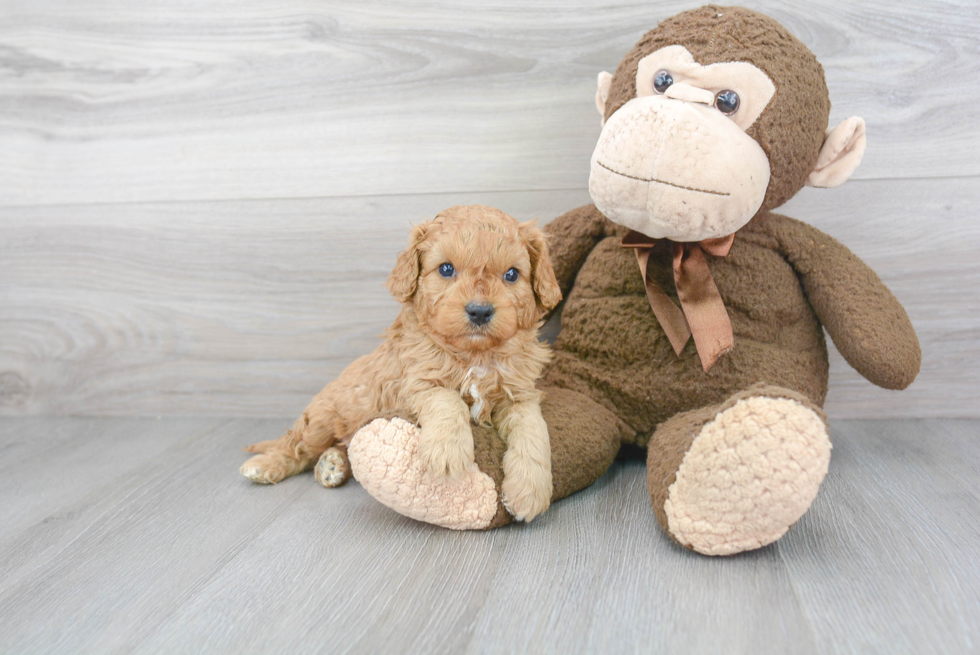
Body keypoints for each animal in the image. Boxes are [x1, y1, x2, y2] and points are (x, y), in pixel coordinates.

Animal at [241, 205, 564, 524]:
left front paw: (530, 490)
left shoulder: (520, 394)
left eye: (512, 274)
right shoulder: (416, 382)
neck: (475, 355)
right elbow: (448, 400)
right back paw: (266, 465)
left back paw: (332, 465)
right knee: (296, 446)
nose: (480, 311)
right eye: (446, 269)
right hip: (321, 420)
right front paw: (447, 452)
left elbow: (534, 431)